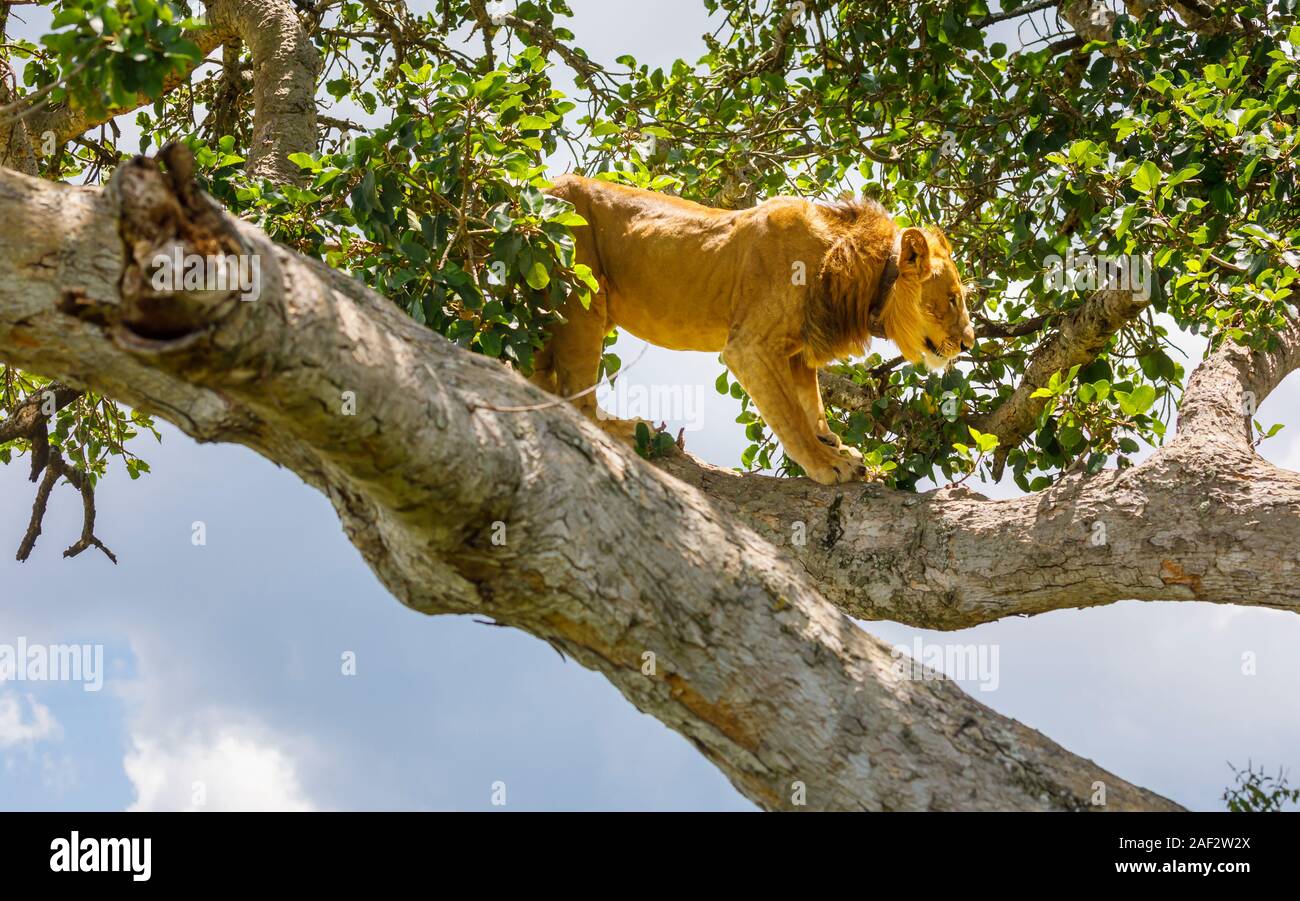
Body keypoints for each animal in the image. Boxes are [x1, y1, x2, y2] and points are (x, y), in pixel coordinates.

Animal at [530, 175, 977, 486]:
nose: (968, 342)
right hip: (581, 292)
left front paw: (832, 442)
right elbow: (791, 416)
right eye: (953, 298)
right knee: (575, 398)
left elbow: (811, 404)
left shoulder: (798, 349)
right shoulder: (751, 347)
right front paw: (828, 464)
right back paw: (624, 429)